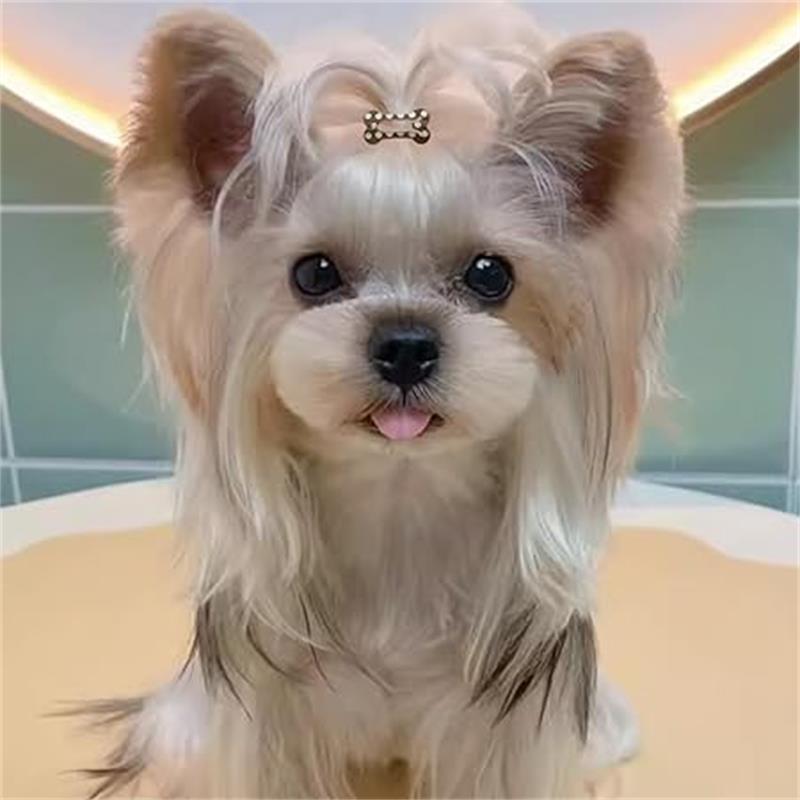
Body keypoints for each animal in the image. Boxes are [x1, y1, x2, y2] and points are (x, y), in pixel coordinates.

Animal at [88, 5, 683, 797]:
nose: (404, 344)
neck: (399, 502)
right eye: (314, 273)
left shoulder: (500, 730)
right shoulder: (272, 715)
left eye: (490, 274)